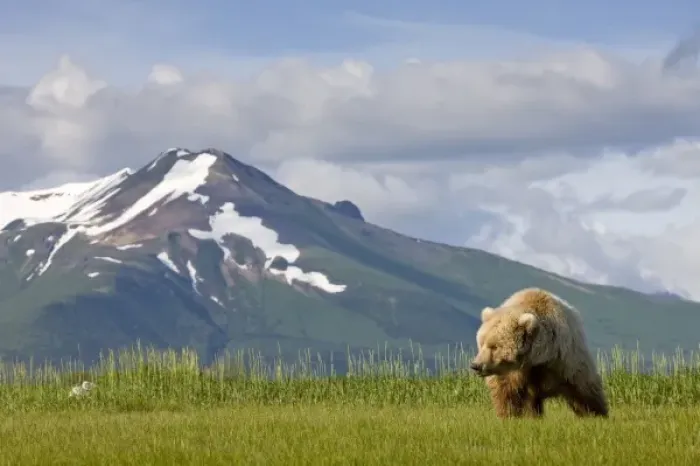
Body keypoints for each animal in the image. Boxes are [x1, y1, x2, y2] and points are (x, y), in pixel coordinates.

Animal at [469, 287, 609, 419]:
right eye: (482, 343)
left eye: (494, 346)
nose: (476, 365)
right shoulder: (514, 373)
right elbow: (507, 392)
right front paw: (510, 416)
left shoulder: (565, 359)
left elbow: (583, 388)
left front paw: (596, 414)